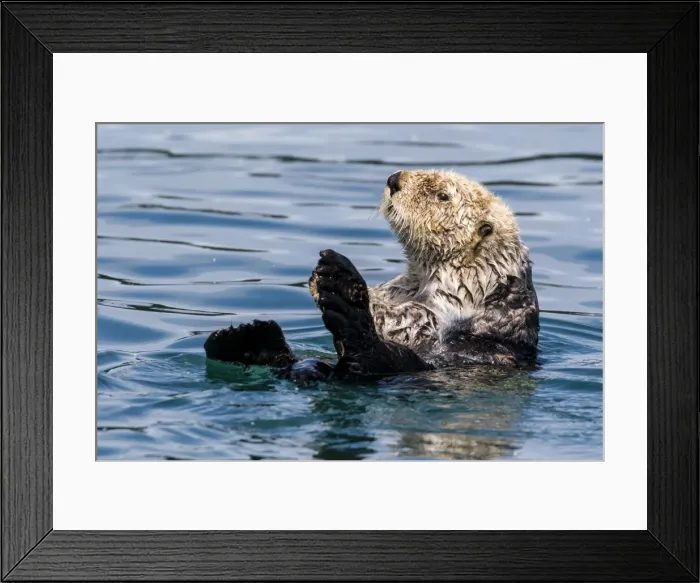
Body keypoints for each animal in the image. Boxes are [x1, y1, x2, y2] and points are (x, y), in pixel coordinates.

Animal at [204, 169, 539, 383]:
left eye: (442, 195)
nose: (394, 179)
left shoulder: (458, 295)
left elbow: (409, 322)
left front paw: (333, 286)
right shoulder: (403, 285)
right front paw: (321, 278)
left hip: (398, 364)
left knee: (367, 357)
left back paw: (341, 291)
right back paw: (245, 338)